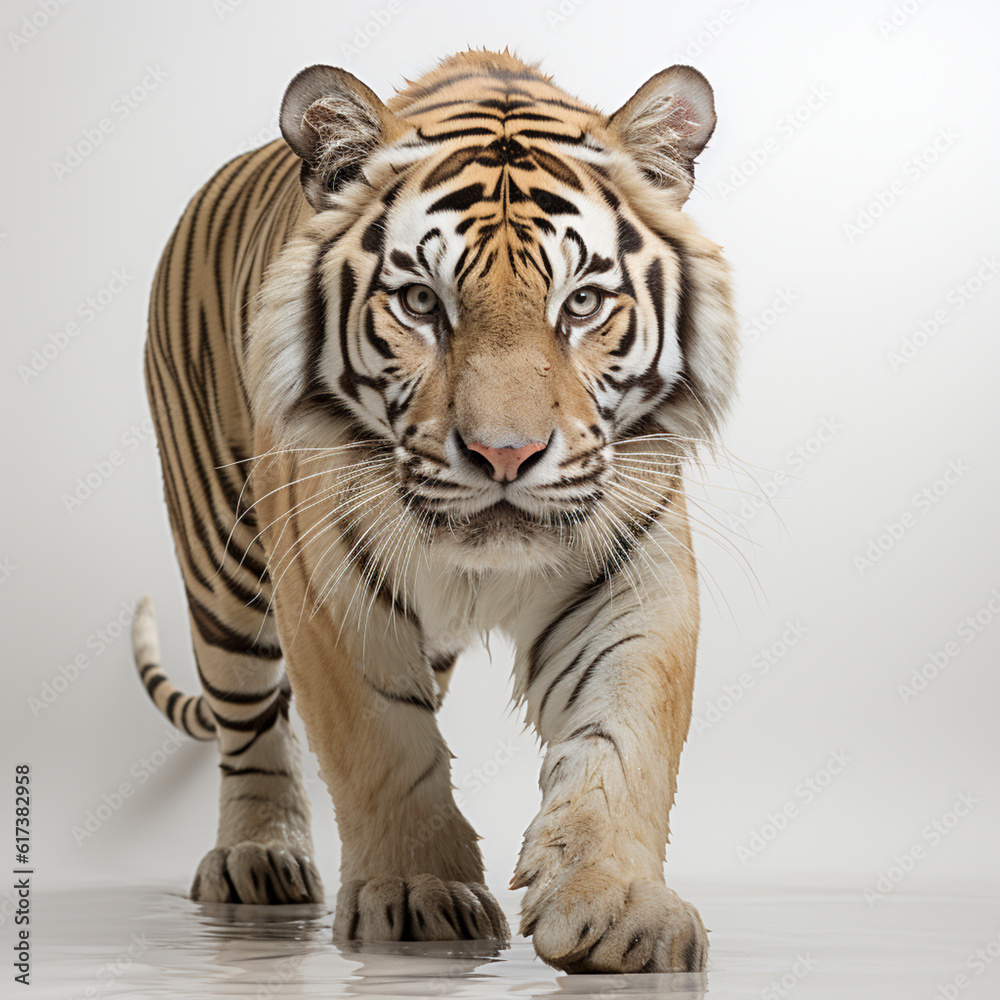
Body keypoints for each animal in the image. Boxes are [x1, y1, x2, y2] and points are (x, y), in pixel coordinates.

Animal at [131, 49, 737, 974]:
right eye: (421, 303)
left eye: (582, 304)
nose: (505, 455)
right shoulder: (330, 587)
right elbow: (384, 743)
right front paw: (418, 891)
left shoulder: (632, 572)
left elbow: (623, 736)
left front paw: (615, 906)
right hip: (222, 556)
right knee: (249, 722)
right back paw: (259, 856)